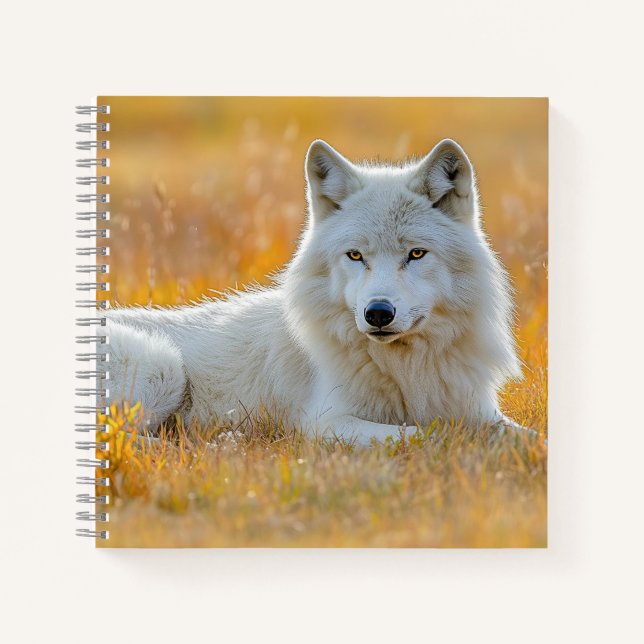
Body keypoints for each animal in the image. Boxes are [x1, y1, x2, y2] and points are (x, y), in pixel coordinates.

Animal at [106, 138, 522, 445]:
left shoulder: (480, 409)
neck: (407, 368)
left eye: (416, 254)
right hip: (164, 366)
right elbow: (429, 435)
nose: (378, 313)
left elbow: (521, 435)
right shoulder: (324, 422)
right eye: (355, 255)